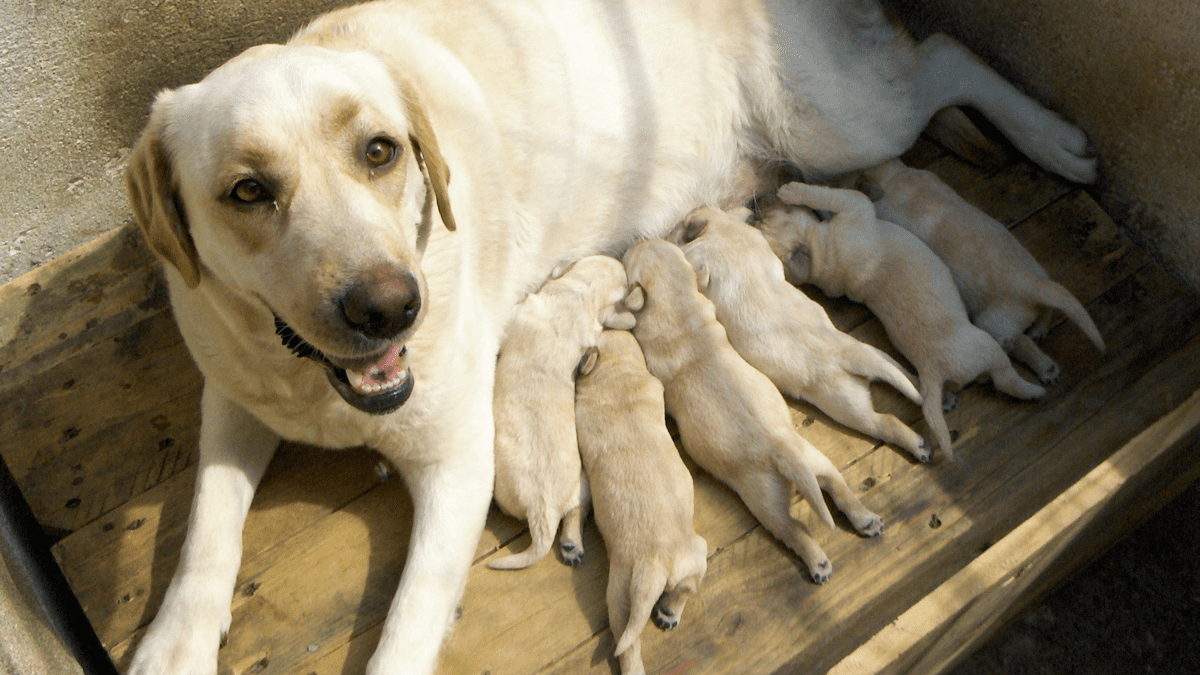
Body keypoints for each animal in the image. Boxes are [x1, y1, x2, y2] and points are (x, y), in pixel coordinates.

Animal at [489, 254, 638, 564]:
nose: (619, 260)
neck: (581, 295)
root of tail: (543, 515)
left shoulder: (522, 312)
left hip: (506, 491)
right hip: (583, 485)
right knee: (575, 512)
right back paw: (572, 545)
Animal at [573, 329, 705, 672]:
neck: (618, 374)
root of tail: (659, 563)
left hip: (620, 592)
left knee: (628, 643)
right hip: (695, 555)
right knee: (687, 588)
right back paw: (670, 613)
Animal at [619, 239, 883, 581]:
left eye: (631, 258)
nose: (636, 240)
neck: (677, 304)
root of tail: (784, 451)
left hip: (763, 497)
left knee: (792, 529)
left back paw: (818, 562)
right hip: (814, 457)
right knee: (836, 484)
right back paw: (865, 518)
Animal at [854, 154, 1104, 381]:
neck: (896, 177)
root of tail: (1031, 284)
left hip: (992, 322)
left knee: (1015, 343)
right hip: (1039, 276)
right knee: (1046, 313)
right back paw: (1041, 341)